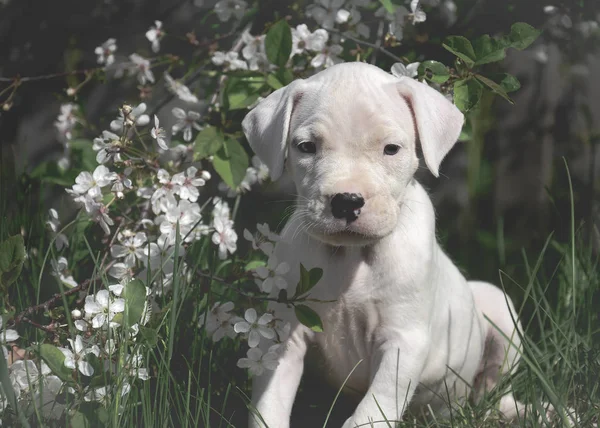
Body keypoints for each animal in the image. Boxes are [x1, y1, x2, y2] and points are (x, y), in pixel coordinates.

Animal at [241, 61, 524, 428]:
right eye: (306, 147)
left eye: (391, 149)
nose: (346, 201)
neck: (351, 257)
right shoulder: (283, 336)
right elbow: (269, 403)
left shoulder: (403, 341)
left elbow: (372, 410)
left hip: (498, 309)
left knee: (492, 397)